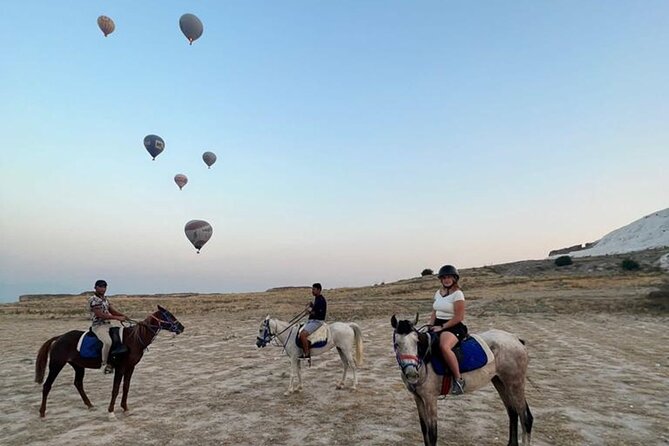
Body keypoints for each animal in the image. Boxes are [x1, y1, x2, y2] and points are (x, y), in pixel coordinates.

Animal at [35, 304, 183, 416]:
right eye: (169, 315)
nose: (182, 327)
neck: (132, 339)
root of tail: (60, 337)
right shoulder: (120, 368)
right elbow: (116, 389)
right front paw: (111, 411)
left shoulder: (130, 367)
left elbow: (126, 387)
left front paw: (125, 408)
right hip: (56, 365)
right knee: (47, 385)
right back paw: (42, 412)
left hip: (78, 366)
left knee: (78, 383)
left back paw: (89, 405)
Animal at [392, 314, 532, 446]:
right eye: (397, 344)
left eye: (416, 342)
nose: (412, 374)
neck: (425, 361)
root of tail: (516, 339)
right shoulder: (418, 398)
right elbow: (424, 429)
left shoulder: (430, 398)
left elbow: (432, 434)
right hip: (500, 382)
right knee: (513, 412)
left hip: (515, 383)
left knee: (525, 418)